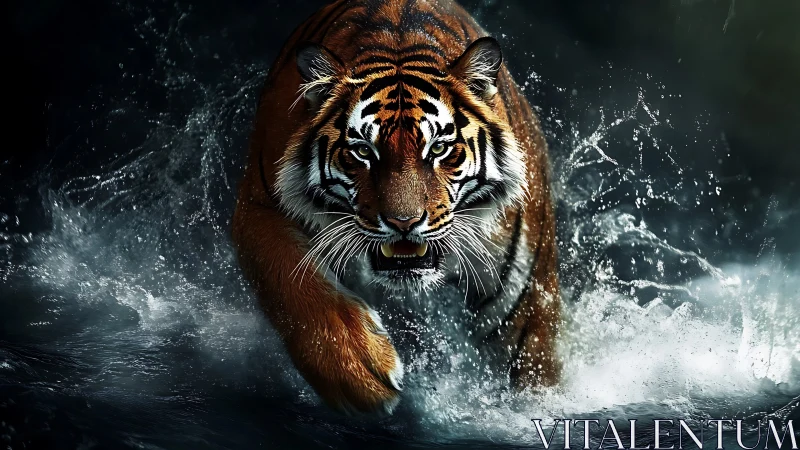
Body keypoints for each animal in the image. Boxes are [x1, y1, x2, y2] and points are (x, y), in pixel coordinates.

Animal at [232, 0, 560, 415]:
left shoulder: (525, 292)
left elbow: (535, 364)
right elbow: (290, 281)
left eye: (439, 148)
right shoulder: (258, 205)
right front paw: (358, 371)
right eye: (362, 151)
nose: (403, 222)